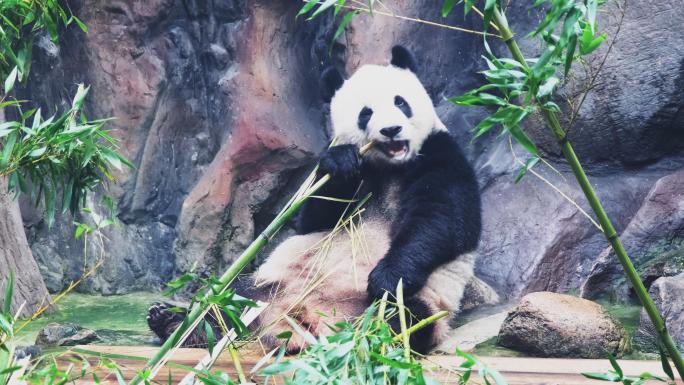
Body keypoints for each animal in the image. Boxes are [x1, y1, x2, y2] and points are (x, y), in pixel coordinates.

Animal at [150, 45, 480, 354]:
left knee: (403, 318)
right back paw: (174, 323)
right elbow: (315, 218)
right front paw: (341, 163)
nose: (391, 130)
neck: (390, 167)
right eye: (366, 113)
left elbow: (442, 221)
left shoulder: (441, 154)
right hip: (273, 281)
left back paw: (369, 336)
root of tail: (307, 320)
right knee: (230, 297)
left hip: (422, 305)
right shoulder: (346, 176)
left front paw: (388, 277)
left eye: (400, 102)